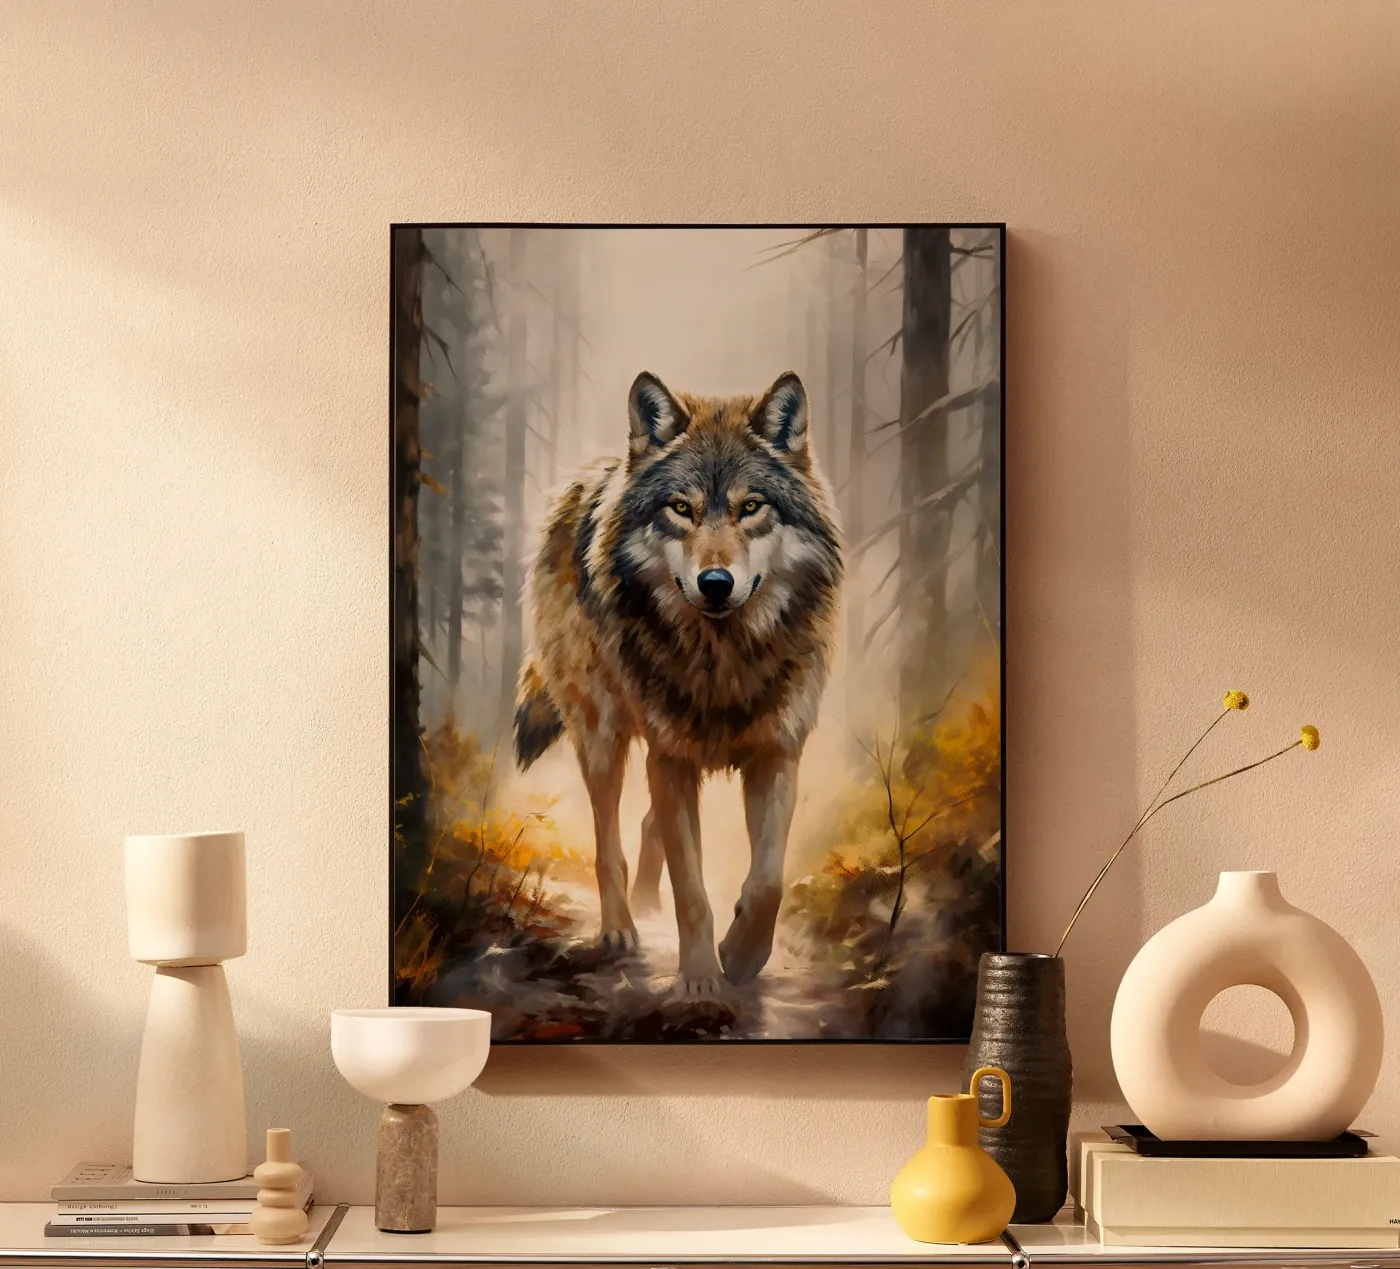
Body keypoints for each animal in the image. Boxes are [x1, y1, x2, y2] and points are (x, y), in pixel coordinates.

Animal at [513, 370, 843, 998]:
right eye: (681, 509)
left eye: (750, 507)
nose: (715, 582)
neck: (723, 660)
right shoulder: (670, 757)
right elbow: (691, 889)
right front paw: (700, 980)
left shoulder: (776, 752)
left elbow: (768, 883)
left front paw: (741, 956)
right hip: (603, 737)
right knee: (609, 843)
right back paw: (621, 928)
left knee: (649, 826)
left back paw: (647, 904)